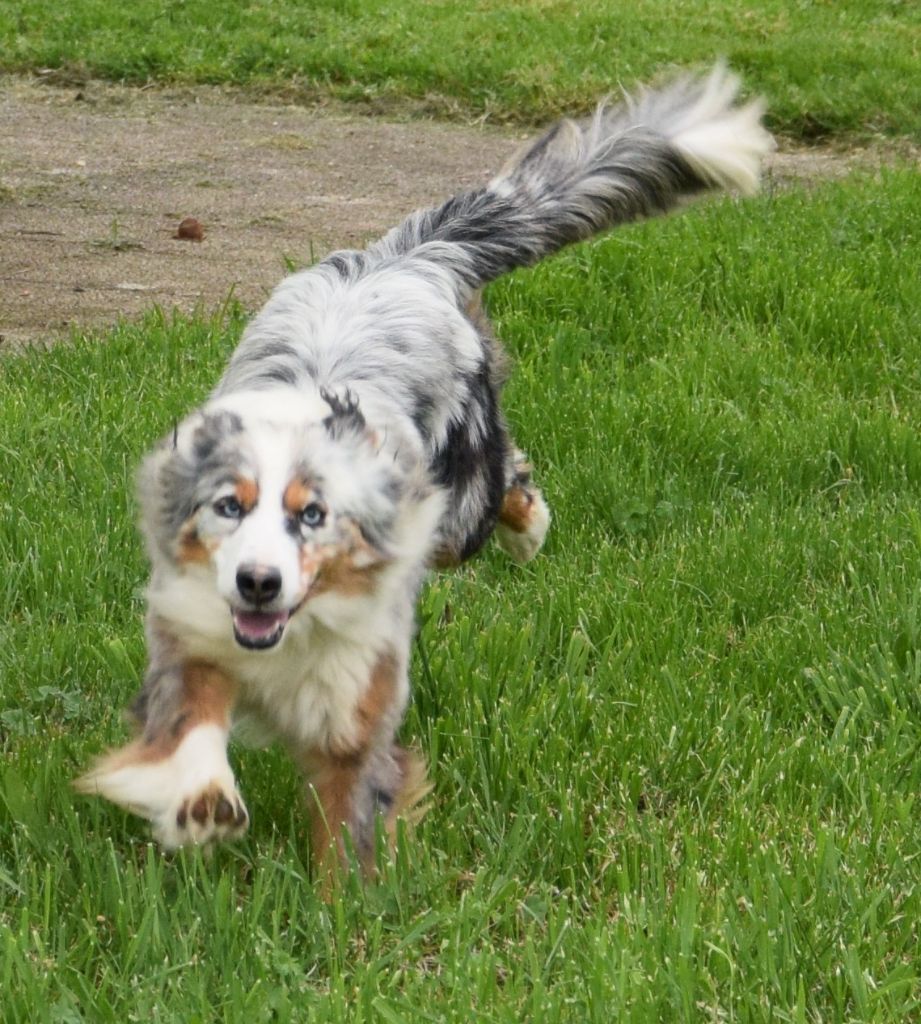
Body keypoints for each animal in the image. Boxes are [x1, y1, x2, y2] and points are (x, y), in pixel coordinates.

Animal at [77, 66, 770, 880]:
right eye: (227, 508)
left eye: (315, 516)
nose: (257, 583)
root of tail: (409, 258)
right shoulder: (190, 634)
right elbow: (188, 723)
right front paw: (199, 801)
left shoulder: (359, 687)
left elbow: (349, 803)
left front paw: (340, 901)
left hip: (459, 495)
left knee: (503, 487)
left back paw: (529, 528)